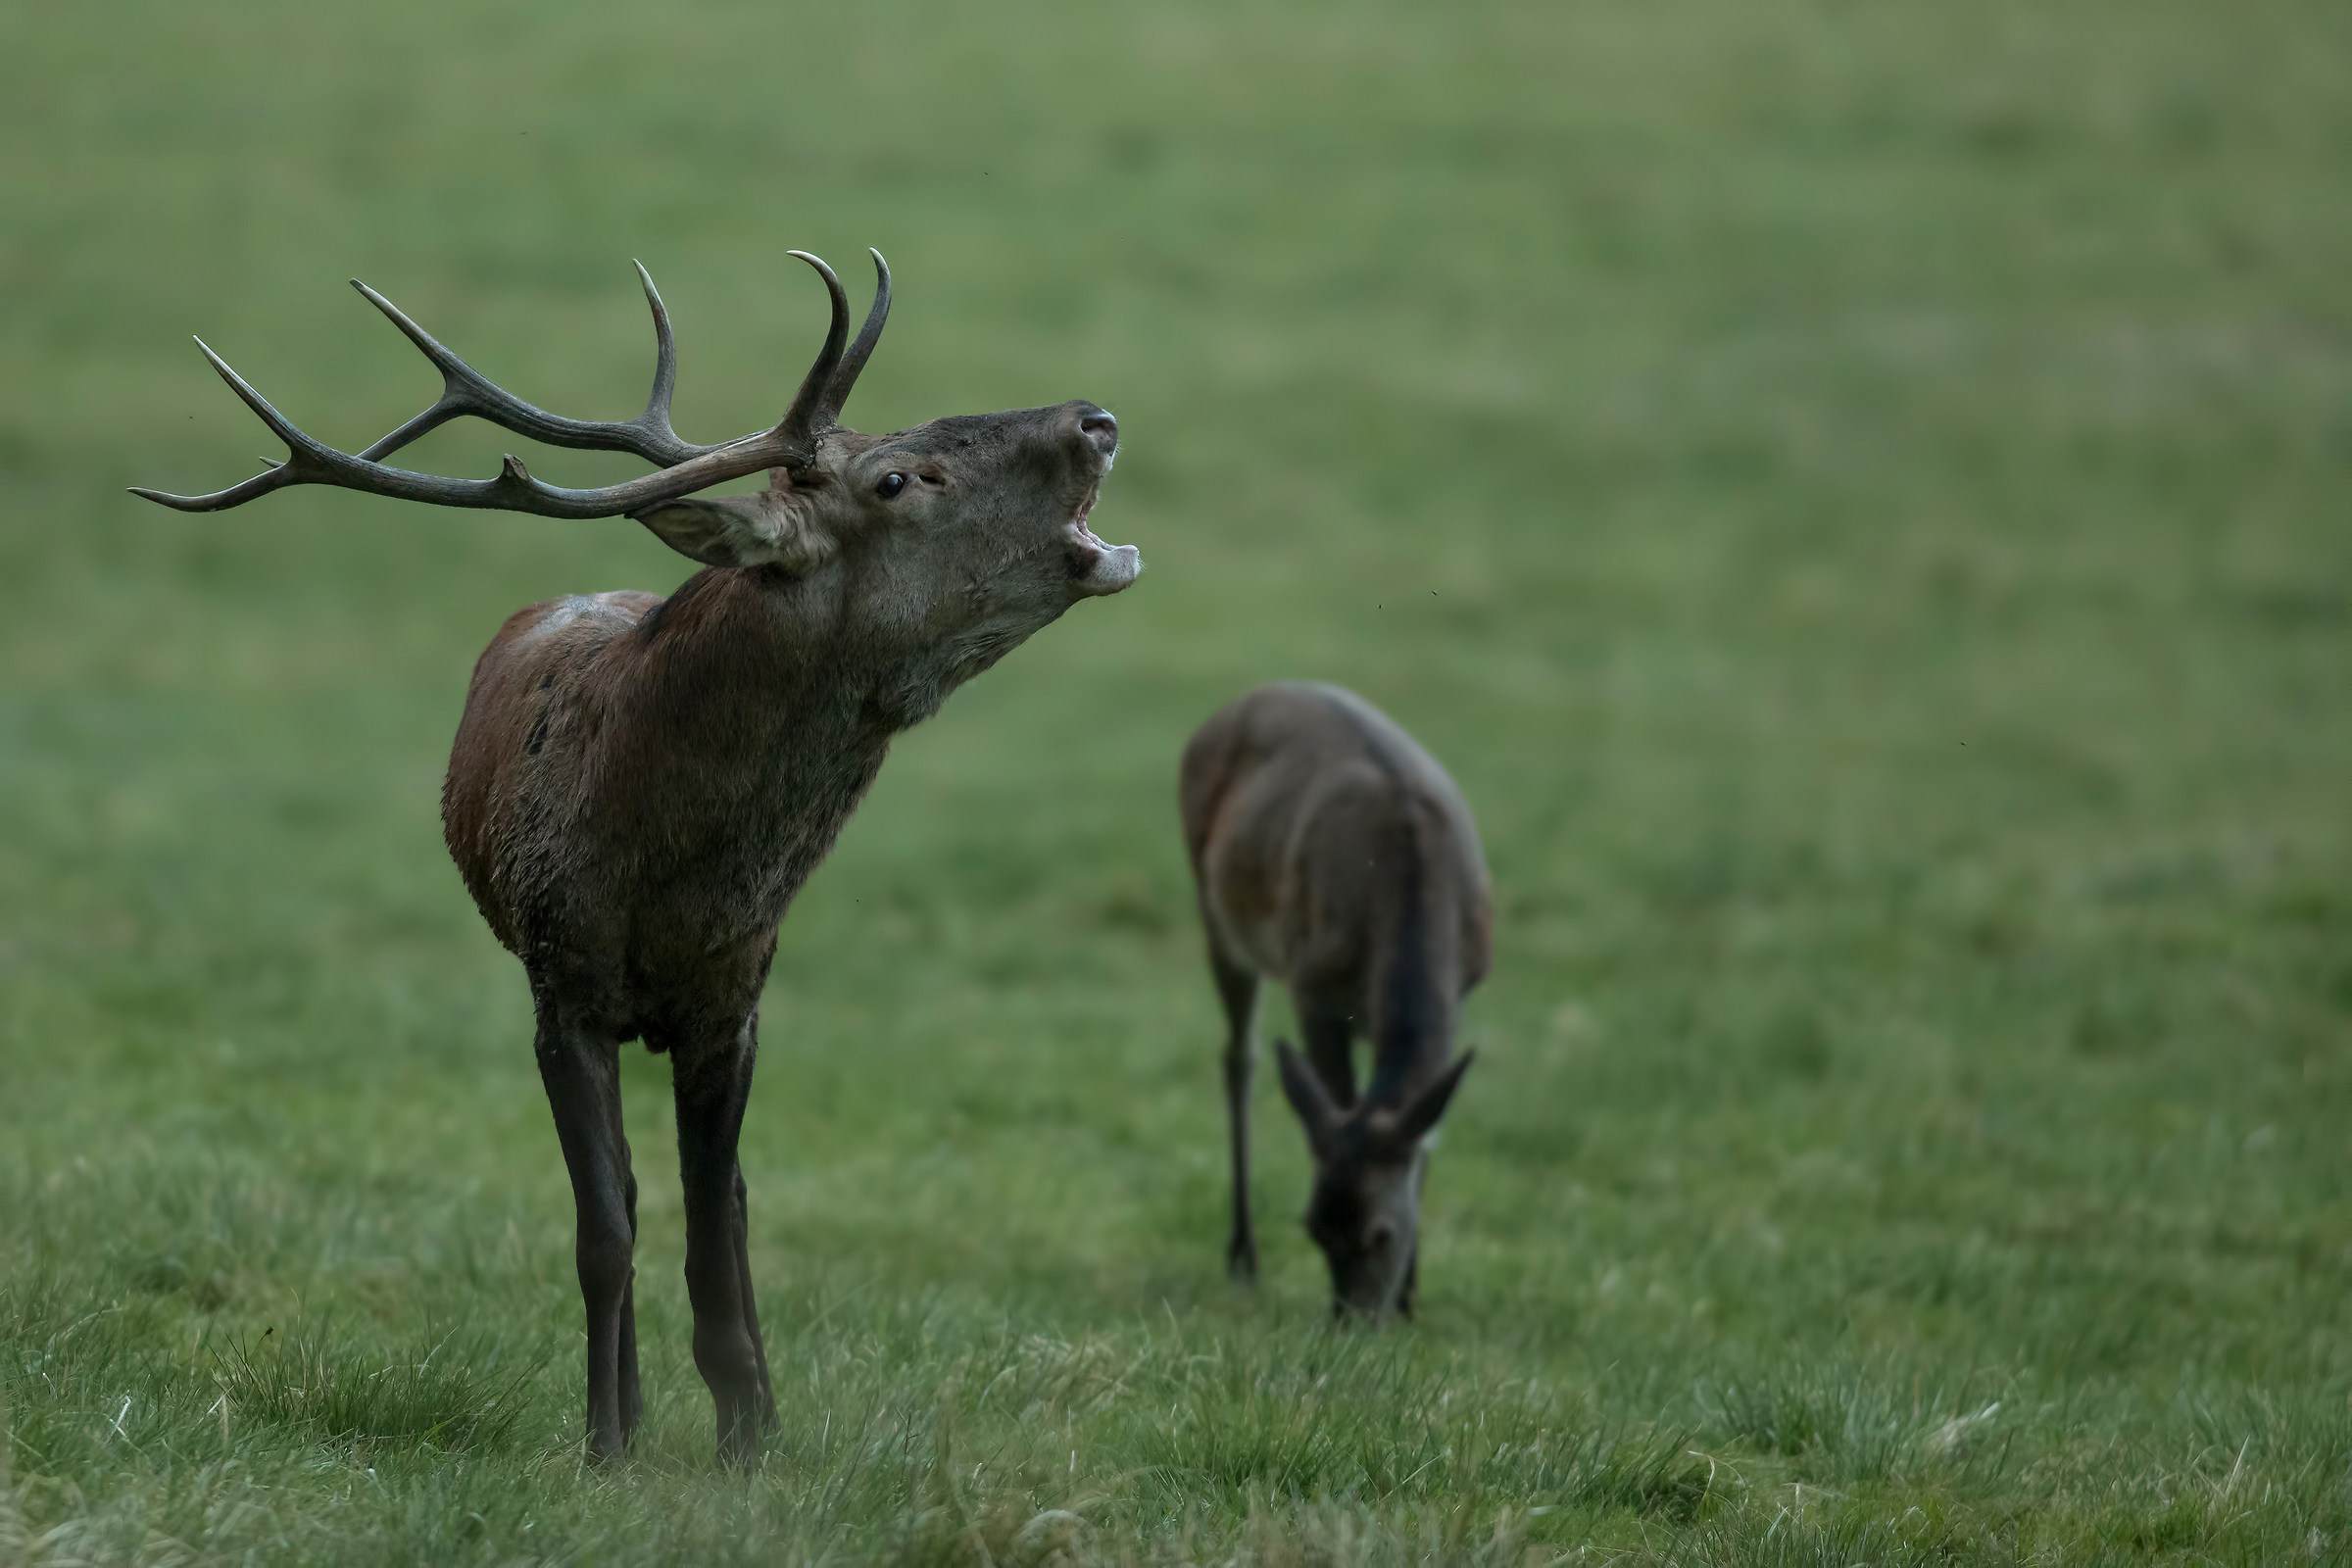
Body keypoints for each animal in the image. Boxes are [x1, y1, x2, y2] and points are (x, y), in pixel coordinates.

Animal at [134, 250, 1139, 1465]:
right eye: (899, 477)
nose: (1095, 419)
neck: (671, 877)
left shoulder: (733, 1003)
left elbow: (717, 1227)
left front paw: (749, 1442)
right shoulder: (561, 989)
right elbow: (604, 1227)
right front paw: (606, 1447)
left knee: (727, 1203)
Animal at [1180, 682, 1490, 1320]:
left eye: (1382, 1234)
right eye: (1313, 1229)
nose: (1352, 1325)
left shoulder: (1465, 985)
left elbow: (1424, 1132)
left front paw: (1411, 1300)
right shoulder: (1312, 986)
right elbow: (1339, 1103)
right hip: (1216, 912)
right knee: (1239, 1057)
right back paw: (1242, 1255)